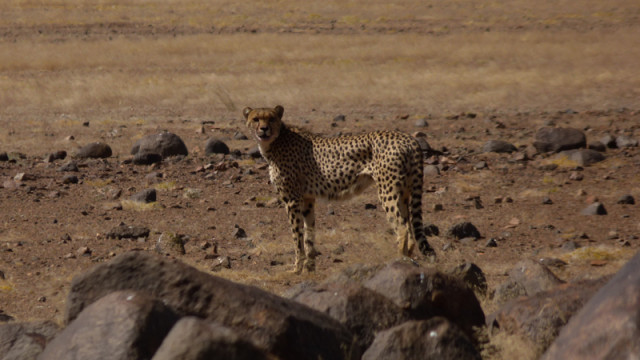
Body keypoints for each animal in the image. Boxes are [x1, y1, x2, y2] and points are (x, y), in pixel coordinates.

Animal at [244, 105, 436, 274]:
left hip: (387, 190)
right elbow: (309, 235)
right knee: (410, 226)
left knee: (402, 227)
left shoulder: (291, 200)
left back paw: (396, 260)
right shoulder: (307, 199)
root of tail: (408, 138)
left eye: (271, 119)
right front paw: (309, 269)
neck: (276, 141)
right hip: (404, 192)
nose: (264, 129)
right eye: (256, 119)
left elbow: (297, 237)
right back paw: (408, 260)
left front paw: (296, 269)